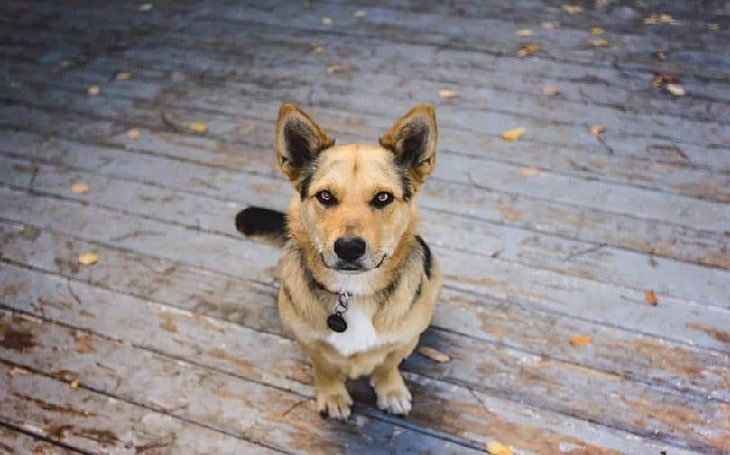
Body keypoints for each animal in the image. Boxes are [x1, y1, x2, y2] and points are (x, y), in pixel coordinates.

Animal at [236, 103, 440, 420]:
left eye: (383, 198)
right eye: (325, 196)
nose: (348, 248)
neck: (351, 291)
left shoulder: (405, 340)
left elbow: (388, 364)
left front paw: (391, 390)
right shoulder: (307, 340)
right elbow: (325, 367)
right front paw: (333, 395)